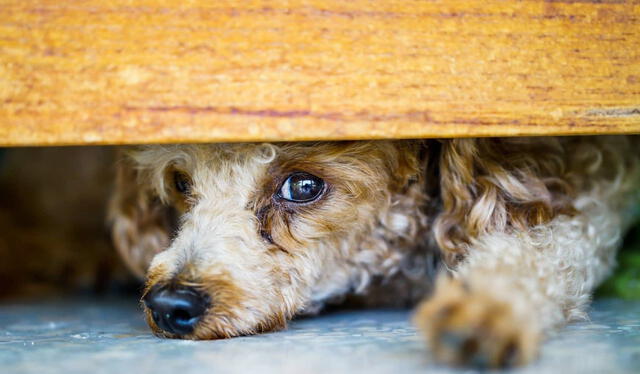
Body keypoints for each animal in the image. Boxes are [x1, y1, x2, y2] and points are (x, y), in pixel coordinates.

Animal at [110, 137, 640, 368]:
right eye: (182, 183)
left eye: (303, 186)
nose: (169, 304)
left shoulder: (593, 201)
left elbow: (549, 249)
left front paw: (487, 309)